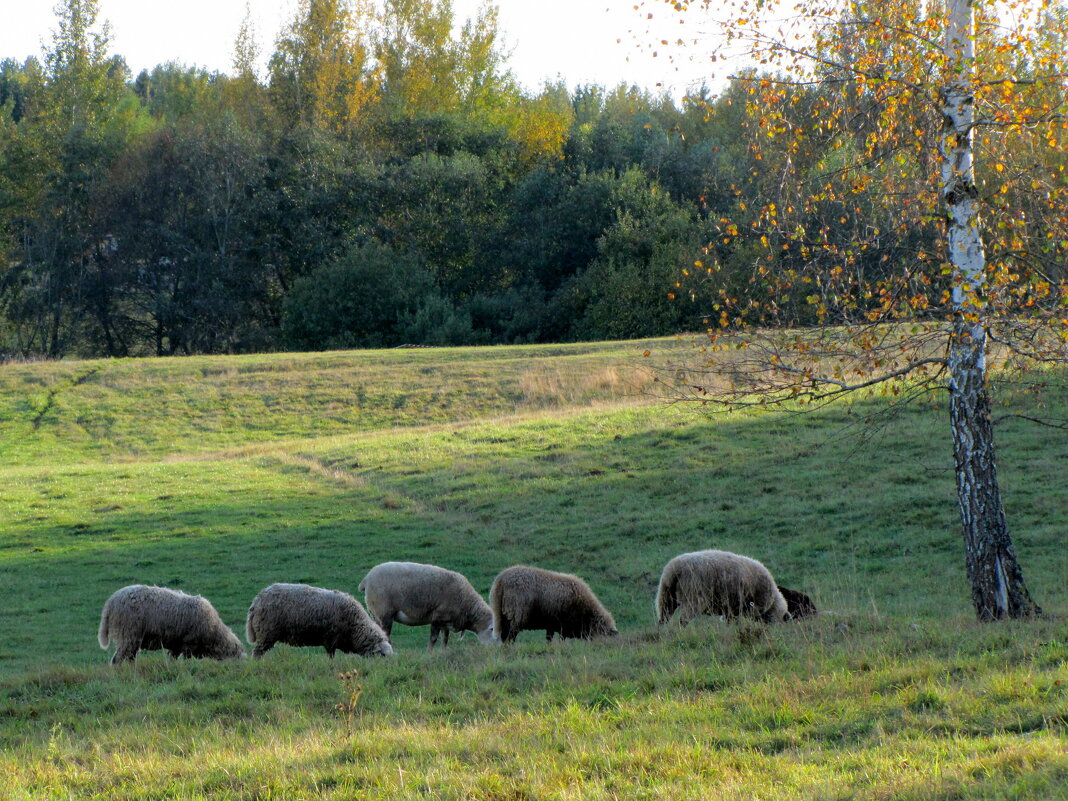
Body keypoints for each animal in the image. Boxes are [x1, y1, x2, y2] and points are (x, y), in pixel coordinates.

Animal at [97, 585, 244, 666]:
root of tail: (111, 602)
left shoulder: (176, 645)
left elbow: (172, 660)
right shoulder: (188, 644)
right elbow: (186, 661)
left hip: (132, 639)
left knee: (130, 658)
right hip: (128, 634)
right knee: (117, 660)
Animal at [244, 585, 393, 657]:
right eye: (383, 656)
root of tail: (256, 600)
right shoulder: (331, 637)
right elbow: (331, 655)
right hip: (266, 632)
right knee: (257, 652)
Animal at [356, 563, 493, 653]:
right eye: (492, 629)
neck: (466, 604)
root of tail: (366, 580)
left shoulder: (446, 620)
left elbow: (445, 638)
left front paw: (444, 652)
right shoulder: (438, 617)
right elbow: (433, 638)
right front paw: (429, 653)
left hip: (376, 615)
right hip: (384, 613)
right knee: (385, 634)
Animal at [487, 563, 619, 645]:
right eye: (603, 634)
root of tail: (500, 581)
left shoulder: (551, 623)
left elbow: (549, 638)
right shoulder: (563, 624)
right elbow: (560, 639)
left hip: (502, 615)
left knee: (505, 636)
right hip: (516, 614)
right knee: (510, 636)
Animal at [653, 551, 790, 627]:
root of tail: (675, 568)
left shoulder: (731, 610)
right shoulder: (748, 608)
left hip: (666, 596)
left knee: (663, 618)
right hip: (693, 597)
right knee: (683, 620)